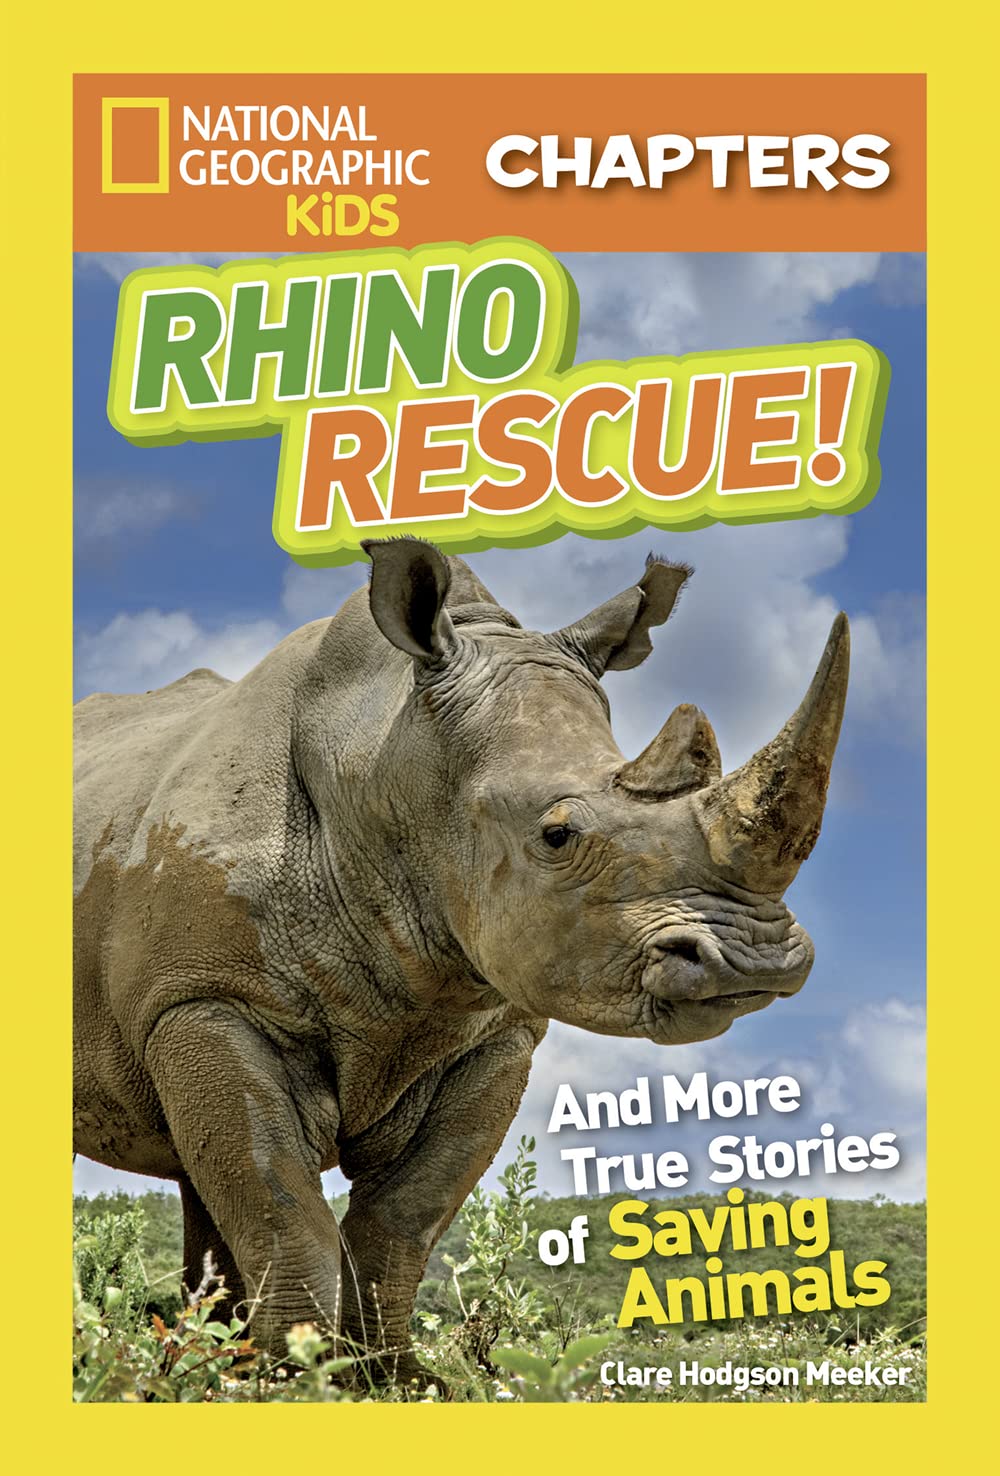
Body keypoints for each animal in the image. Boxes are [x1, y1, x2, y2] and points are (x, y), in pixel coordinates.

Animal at [74, 537, 849, 1385]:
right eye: (557, 835)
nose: (753, 960)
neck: (387, 763)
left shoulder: (495, 1030)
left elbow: (404, 1216)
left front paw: (394, 1380)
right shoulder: (205, 1000)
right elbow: (280, 1205)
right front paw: (297, 1380)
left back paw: (200, 1363)